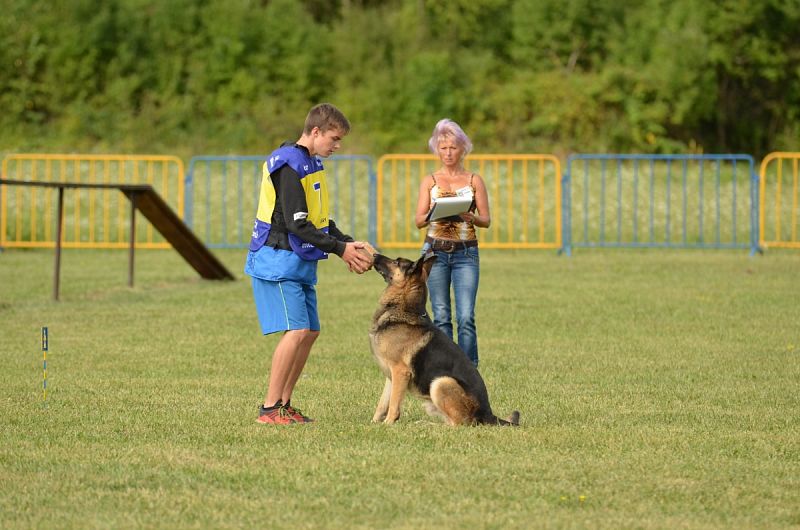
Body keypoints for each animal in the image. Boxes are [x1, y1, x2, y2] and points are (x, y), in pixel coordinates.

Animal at [368, 252, 520, 424]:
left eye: (397, 262)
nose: (374, 254)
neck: (403, 309)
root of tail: (488, 413)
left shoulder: (400, 372)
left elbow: (393, 405)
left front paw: (388, 424)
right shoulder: (391, 376)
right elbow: (382, 404)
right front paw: (375, 424)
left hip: (440, 382)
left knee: (459, 423)